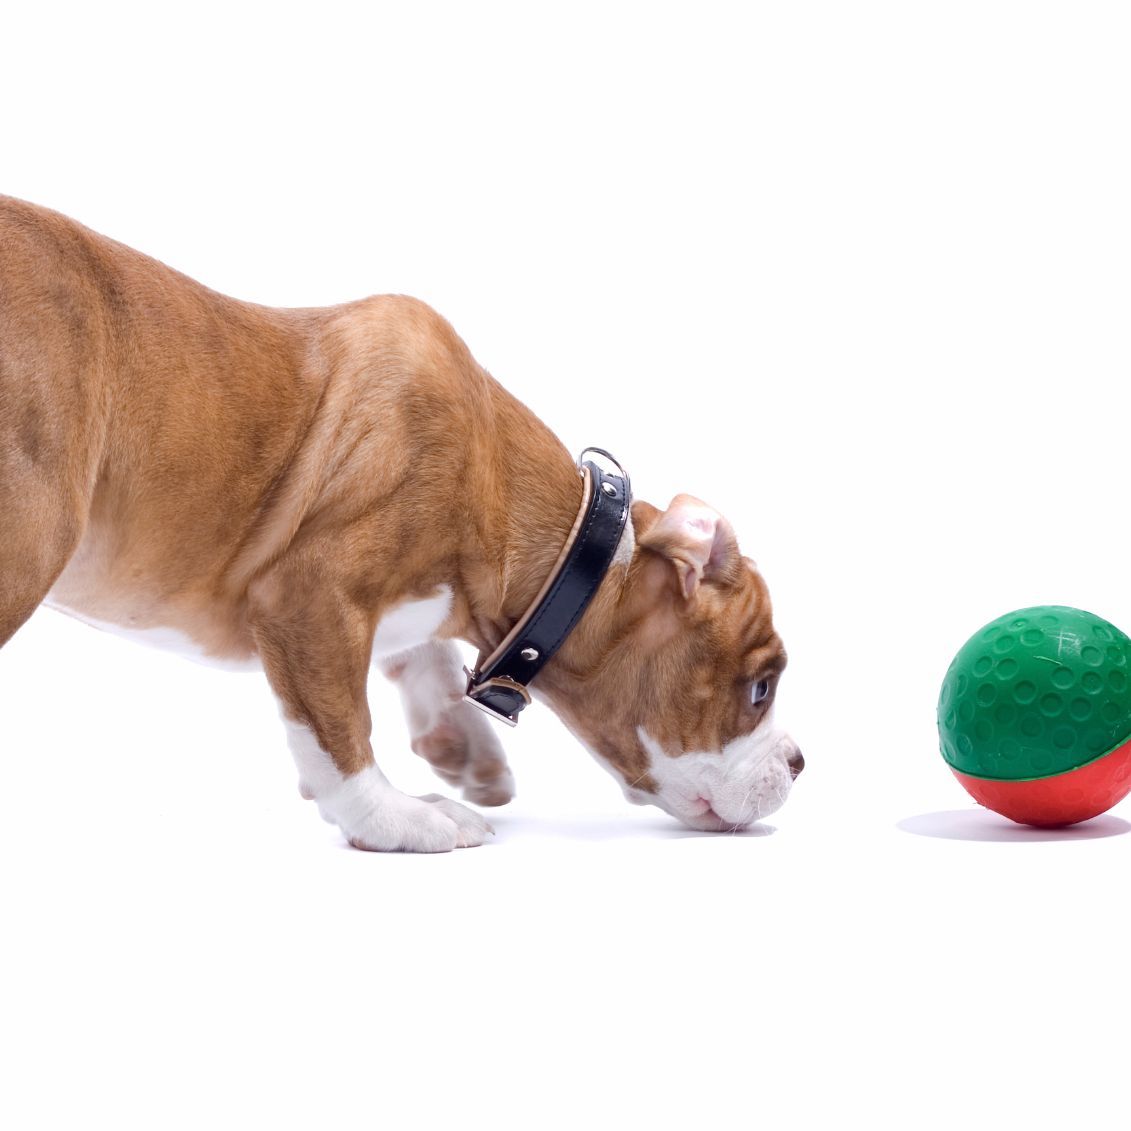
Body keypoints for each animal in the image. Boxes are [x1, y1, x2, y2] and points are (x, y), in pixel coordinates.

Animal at [0, 196, 803, 852]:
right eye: (760, 689)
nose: (798, 762)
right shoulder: (307, 597)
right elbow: (337, 726)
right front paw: (394, 815)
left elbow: (413, 655)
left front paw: (462, 745)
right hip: (31, 534)